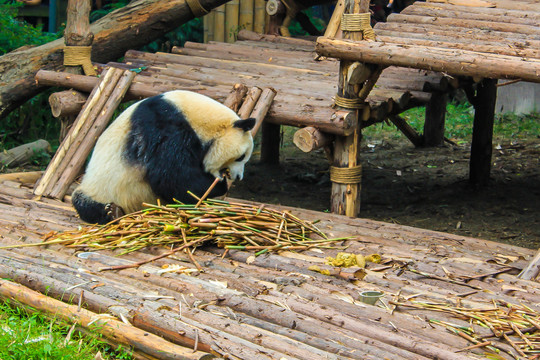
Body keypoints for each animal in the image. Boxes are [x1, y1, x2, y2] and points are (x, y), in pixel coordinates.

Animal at [71, 90, 255, 224]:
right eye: (241, 157)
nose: (238, 177)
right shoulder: (165, 126)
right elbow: (172, 177)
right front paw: (217, 185)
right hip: (100, 188)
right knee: (87, 205)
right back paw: (112, 212)